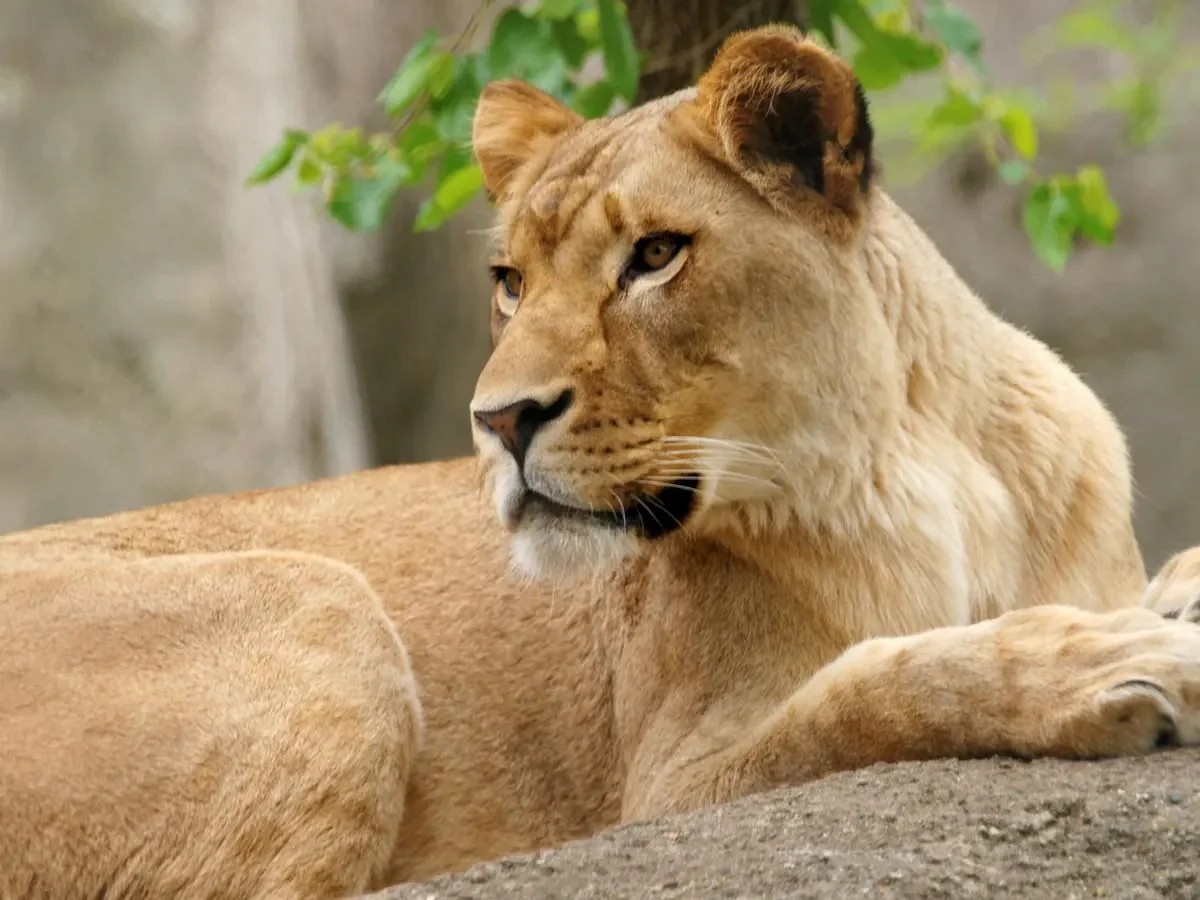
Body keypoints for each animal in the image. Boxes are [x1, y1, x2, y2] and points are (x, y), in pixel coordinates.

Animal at [3, 24, 1200, 900]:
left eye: (656, 255)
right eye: (510, 282)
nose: (498, 420)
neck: (916, 471)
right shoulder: (669, 787)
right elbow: (870, 689)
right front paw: (1103, 663)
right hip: (318, 603)